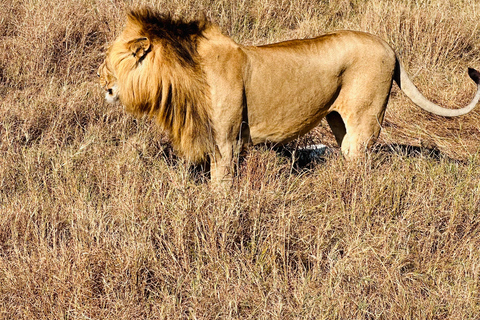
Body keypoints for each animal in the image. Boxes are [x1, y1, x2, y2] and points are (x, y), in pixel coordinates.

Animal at [98, 8, 480, 185]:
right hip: (338, 120)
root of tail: (389, 46)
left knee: (360, 157)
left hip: (366, 118)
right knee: (347, 151)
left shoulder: (226, 141)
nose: (103, 85)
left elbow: (220, 184)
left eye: (111, 62)